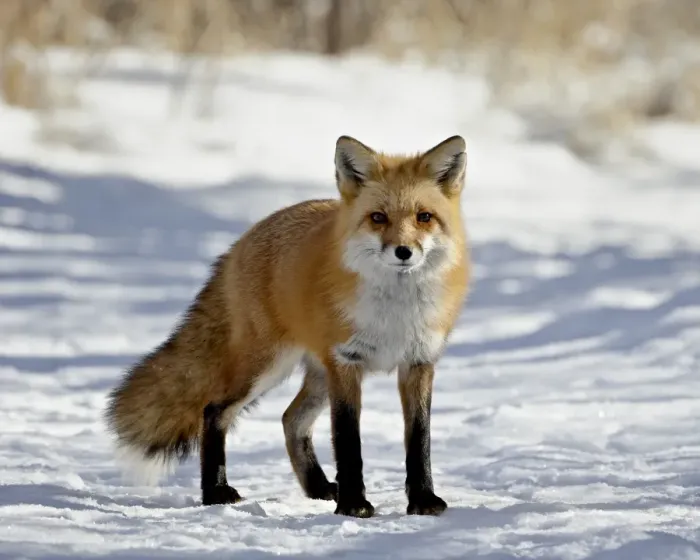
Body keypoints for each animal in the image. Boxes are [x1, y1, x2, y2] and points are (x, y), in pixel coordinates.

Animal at [105, 134, 471, 518]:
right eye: (378, 218)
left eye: (424, 217)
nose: (403, 251)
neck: (395, 314)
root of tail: (243, 241)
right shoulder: (347, 362)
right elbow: (348, 441)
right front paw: (353, 505)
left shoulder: (418, 363)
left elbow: (419, 440)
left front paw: (423, 500)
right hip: (266, 367)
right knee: (214, 410)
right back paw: (215, 491)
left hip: (317, 375)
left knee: (290, 419)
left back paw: (318, 488)